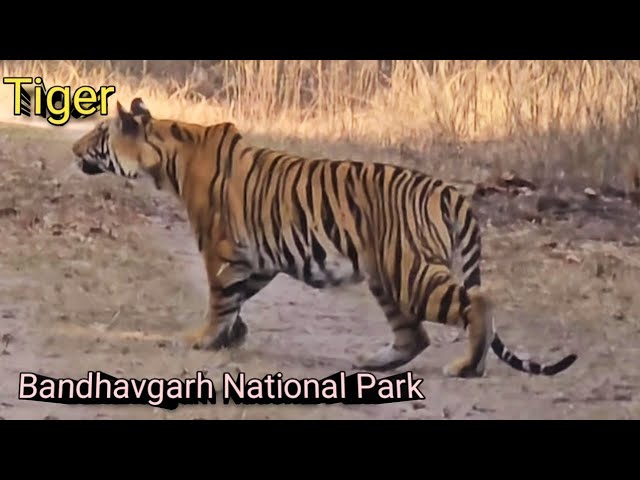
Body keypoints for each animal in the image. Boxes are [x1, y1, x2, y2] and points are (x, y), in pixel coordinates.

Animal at [70, 97, 578, 378]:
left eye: (97, 132)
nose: (73, 148)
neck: (166, 156)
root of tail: (450, 190)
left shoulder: (221, 247)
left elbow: (220, 297)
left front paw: (204, 338)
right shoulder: (257, 256)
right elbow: (239, 297)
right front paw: (233, 336)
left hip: (409, 270)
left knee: (477, 303)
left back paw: (468, 367)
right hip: (385, 275)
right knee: (414, 334)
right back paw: (373, 362)